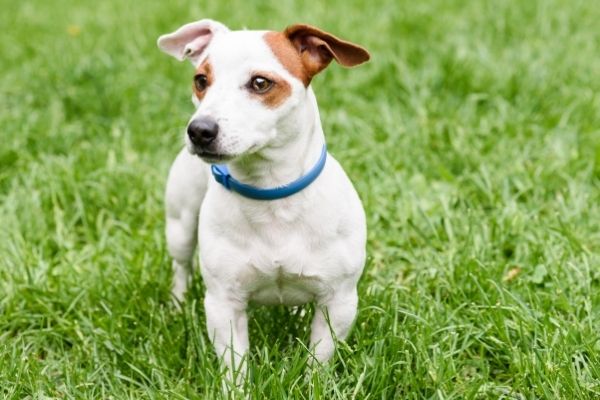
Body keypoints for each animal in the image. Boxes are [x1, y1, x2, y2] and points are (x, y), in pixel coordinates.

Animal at [157, 18, 368, 376]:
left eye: (260, 83)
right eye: (201, 80)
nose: (199, 130)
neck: (271, 193)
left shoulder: (338, 302)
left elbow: (318, 359)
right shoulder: (224, 305)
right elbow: (235, 363)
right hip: (180, 225)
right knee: (181, 265)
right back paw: (177, 304)